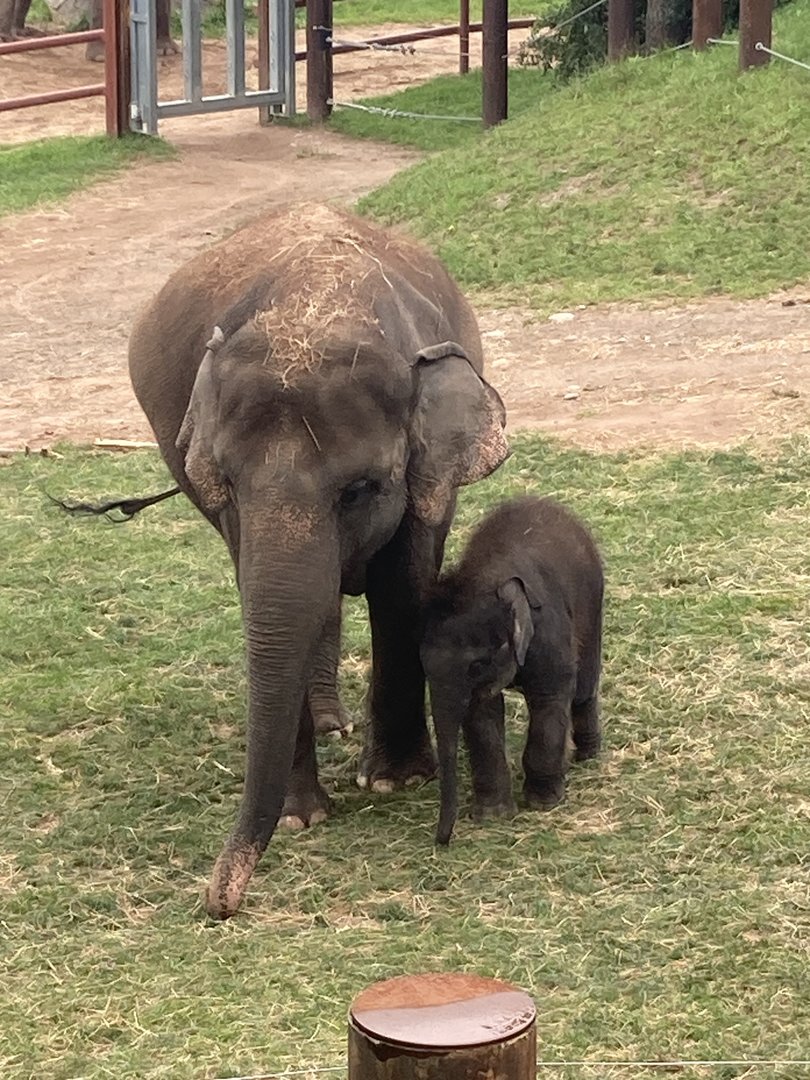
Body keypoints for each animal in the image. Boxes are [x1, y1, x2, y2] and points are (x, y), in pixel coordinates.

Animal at [127, 202, 509, 919]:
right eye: (225, 482)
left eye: (359, 489)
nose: (218, 902)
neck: (321, 303)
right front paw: (301, 817)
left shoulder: (427, 474)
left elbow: (402, 586)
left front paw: (395, 780)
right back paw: (332, 725)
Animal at [420, 496, 604, 845]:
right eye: (422, 665)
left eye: (477, 664)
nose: (442, 841)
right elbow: (483, 717)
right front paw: (492, 815)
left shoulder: (547, 633)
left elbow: (549, 701)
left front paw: (544, 802)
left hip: (593, 597)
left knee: (584, 686)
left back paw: (588, 755)